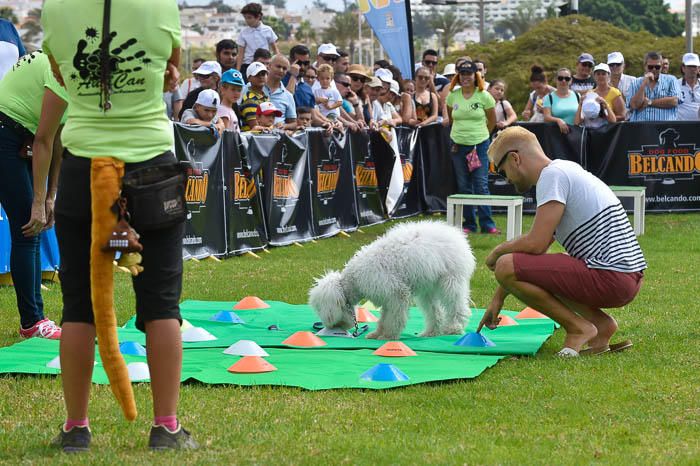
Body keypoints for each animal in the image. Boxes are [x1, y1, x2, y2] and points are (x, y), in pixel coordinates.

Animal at [310, 220, 476, 340]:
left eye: (320, 309)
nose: (332, 326)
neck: (354, 279)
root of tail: (456, 235)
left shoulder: (397, 293)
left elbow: (394, 317)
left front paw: (388, 336)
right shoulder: (386, 297)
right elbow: (384, 318)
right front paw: (377, 334)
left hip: (451, 280)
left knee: (457, 305)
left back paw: (454, 327)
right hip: (428, 289)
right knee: (435, 311)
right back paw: (431, 332)